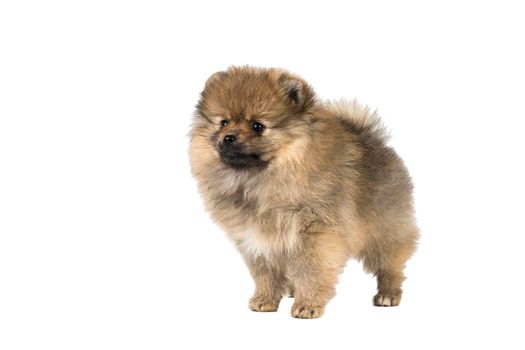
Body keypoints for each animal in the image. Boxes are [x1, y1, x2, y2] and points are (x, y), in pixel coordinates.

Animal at [187, 66, 418, 320]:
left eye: (257, 125)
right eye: (223, 122)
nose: (228, 137)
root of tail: (375, 142)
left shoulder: (315, 234)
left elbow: (311, 270)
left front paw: (307, 304)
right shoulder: (254, 237)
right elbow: (265, 273)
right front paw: (265, 299)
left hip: (384, 229)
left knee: (391, 263)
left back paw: (388, 294)